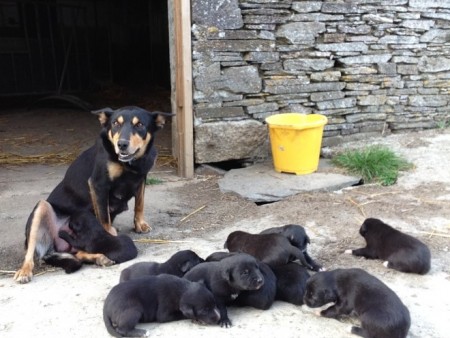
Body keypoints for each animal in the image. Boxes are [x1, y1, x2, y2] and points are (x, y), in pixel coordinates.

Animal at [15, 106, 169, 282]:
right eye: (115, 124)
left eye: (140, 125)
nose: (122, 144)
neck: (132, 163)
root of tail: (54, 246)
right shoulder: (98, 184)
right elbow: (104, 218)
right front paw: (111, 235)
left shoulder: (141, 179)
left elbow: (140, 204)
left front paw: (140, 224)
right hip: (41, 207)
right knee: (30, 252)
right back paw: (24, 271)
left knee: (80, 253)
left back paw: (100, 258)